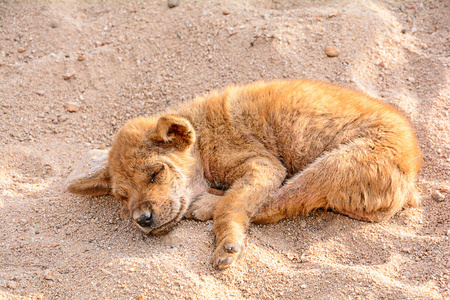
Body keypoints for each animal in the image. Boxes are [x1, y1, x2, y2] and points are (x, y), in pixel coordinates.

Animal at [67, 79, 422, 270]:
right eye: (122, 197)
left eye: (156, 173)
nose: (141, 219)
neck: (204, 138)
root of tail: (412, 172)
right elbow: (236, 200)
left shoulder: (264, 165)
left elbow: (233, 206)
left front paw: (226, 244)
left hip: (331, 164)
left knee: (274, 204)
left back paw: (206, 205)